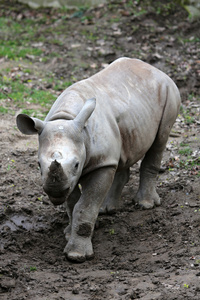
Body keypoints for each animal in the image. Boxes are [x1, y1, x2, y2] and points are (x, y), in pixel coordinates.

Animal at [16, 56, 180, 262]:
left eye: (77, 164)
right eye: (38, 165)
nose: (55, 192)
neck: (66, 118)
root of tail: (155, 70)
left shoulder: (99, 165)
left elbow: (85, 206)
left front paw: (76, 255)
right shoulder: (70, 176)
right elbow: (72, 203)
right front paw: (69, 233)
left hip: (169, 93)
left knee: (159, 140)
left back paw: (145, 204)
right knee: (121, 155)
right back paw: (107, 209)